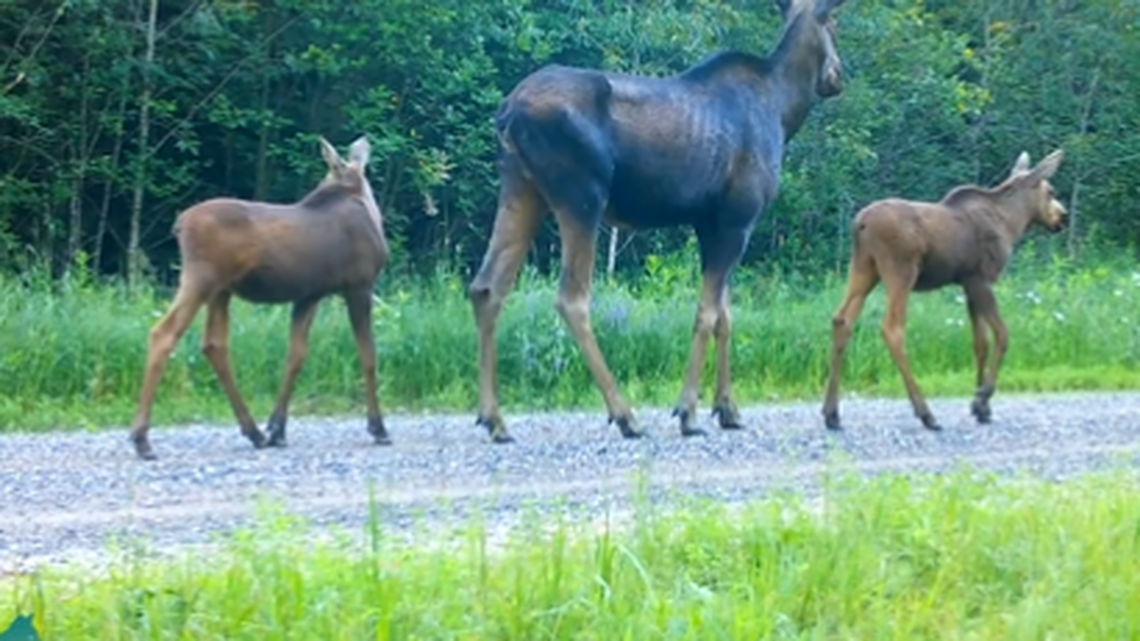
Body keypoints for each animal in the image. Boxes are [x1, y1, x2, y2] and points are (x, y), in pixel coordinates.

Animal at [128, 135, 391, 460]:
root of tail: (179, 224)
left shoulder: (308, 295)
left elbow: (295, 356)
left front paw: (277, 428)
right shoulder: (359, 285)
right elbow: (368, 355)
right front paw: (378, 427)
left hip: (221, 289)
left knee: (214, 344)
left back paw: (254, 432)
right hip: (201, 278)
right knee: (163, 334)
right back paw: (142, 438)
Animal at [466, 0, 851, 444]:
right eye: (833, 26)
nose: (837, 75)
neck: (785, 109)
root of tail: (507, 112)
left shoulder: (710, 223)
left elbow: (725, 316)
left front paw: (728, 409)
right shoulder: (738, 218)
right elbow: (706, 314)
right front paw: (688, 411)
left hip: (520, 188)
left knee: (487, 287)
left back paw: (494, 419)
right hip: (582, 196)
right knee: (571, 298)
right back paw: (625, 415)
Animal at [822, 149, 1067, 432]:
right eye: (1050, 191)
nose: (1063, 217)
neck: (1011, 223)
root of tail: (859, 224)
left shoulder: (968, 284)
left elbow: (980, 343)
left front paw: (980, 408)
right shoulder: (980, 279)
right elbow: (1002, 335)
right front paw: (982, 397)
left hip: (864, 268)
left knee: (842, 319)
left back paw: (831, 413)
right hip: (900, 271)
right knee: (892, 329)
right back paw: (926, 413)